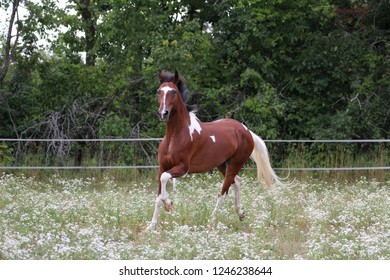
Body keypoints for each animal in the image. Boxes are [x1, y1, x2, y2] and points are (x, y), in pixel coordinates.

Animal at [146, 70, 284, 230]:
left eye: (173, 91)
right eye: (159, 91)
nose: (163, 113)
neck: (175, 136)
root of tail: (246, 130)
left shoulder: (182, 168)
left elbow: (164, 181)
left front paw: (169, 203)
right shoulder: (162, 167)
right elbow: (158, 195)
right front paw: (151, 226)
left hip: (235, 163)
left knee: (223, 192)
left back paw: (211, 221)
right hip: (222, 164)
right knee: (236, 181)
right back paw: (240, 213)